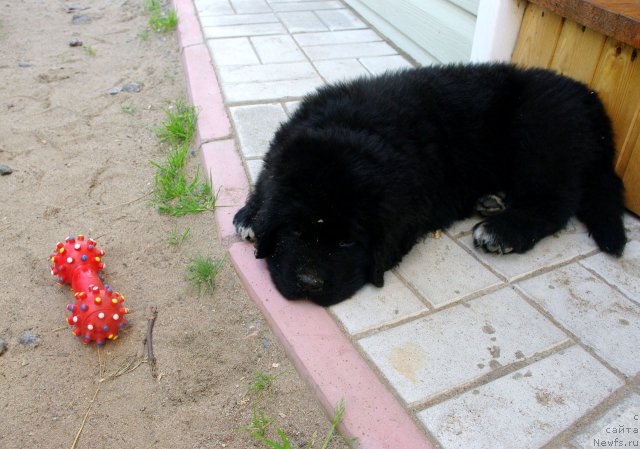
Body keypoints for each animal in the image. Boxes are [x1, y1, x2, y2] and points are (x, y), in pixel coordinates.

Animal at [234, 62, 624, 304]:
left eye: (347, 242)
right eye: (295, 231)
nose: (310, 284)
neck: (354, 126)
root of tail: (590, 98)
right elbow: (266, 181)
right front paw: (250, 215)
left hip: (539, 136)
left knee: (555, 202)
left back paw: (501, 230)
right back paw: (490, 200)